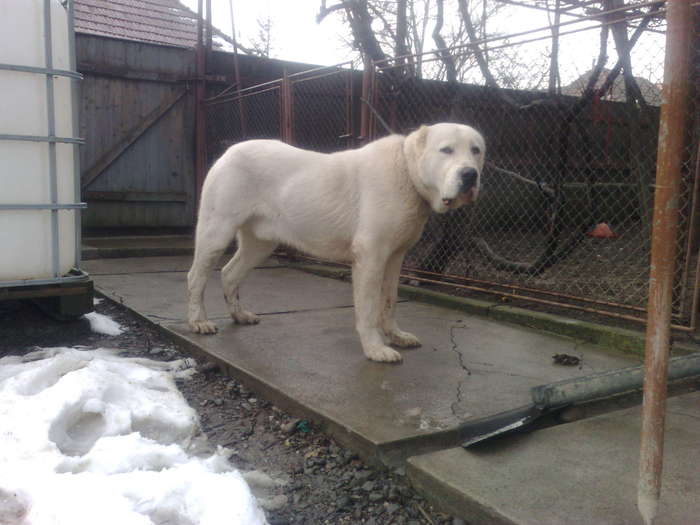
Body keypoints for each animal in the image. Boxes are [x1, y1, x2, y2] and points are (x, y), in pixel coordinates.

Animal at [187, 122, 486, 360]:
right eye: (446, 150)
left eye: (476, 150)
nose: (470, 174)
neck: (407, 172)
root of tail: (229, 152)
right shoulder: (371, 257)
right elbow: (369, 308)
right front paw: (375, 349)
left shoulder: (394, 258)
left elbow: (389, 301)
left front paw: (396, 336)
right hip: (216, 233)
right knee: (196, 277)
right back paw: (198, 321)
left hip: (259, 245)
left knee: (229, 273)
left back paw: (239, 315)